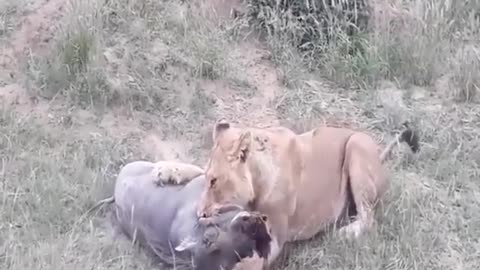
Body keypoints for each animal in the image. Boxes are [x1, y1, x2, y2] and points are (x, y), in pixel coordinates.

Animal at [167, 118, 418, 266]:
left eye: (215, 182)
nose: (199, 213)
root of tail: (379, 155)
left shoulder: (275, 238)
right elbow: (196, 168)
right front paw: (168, 171)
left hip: (356, 145)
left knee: (369, 218)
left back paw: (346, 232)